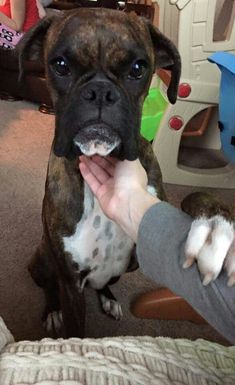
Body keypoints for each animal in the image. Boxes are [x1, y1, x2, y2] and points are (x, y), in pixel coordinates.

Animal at [19, 6, 235, 336]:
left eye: (137, 68)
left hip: (124, 269)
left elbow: (195, 197)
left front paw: (214, 231)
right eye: (60, 65)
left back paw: (109, 299)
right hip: (43, 261)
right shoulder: (70, 283)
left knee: (102, 284)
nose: (99, 91)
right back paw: (52, 311)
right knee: (49, 286)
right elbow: (75, 328)